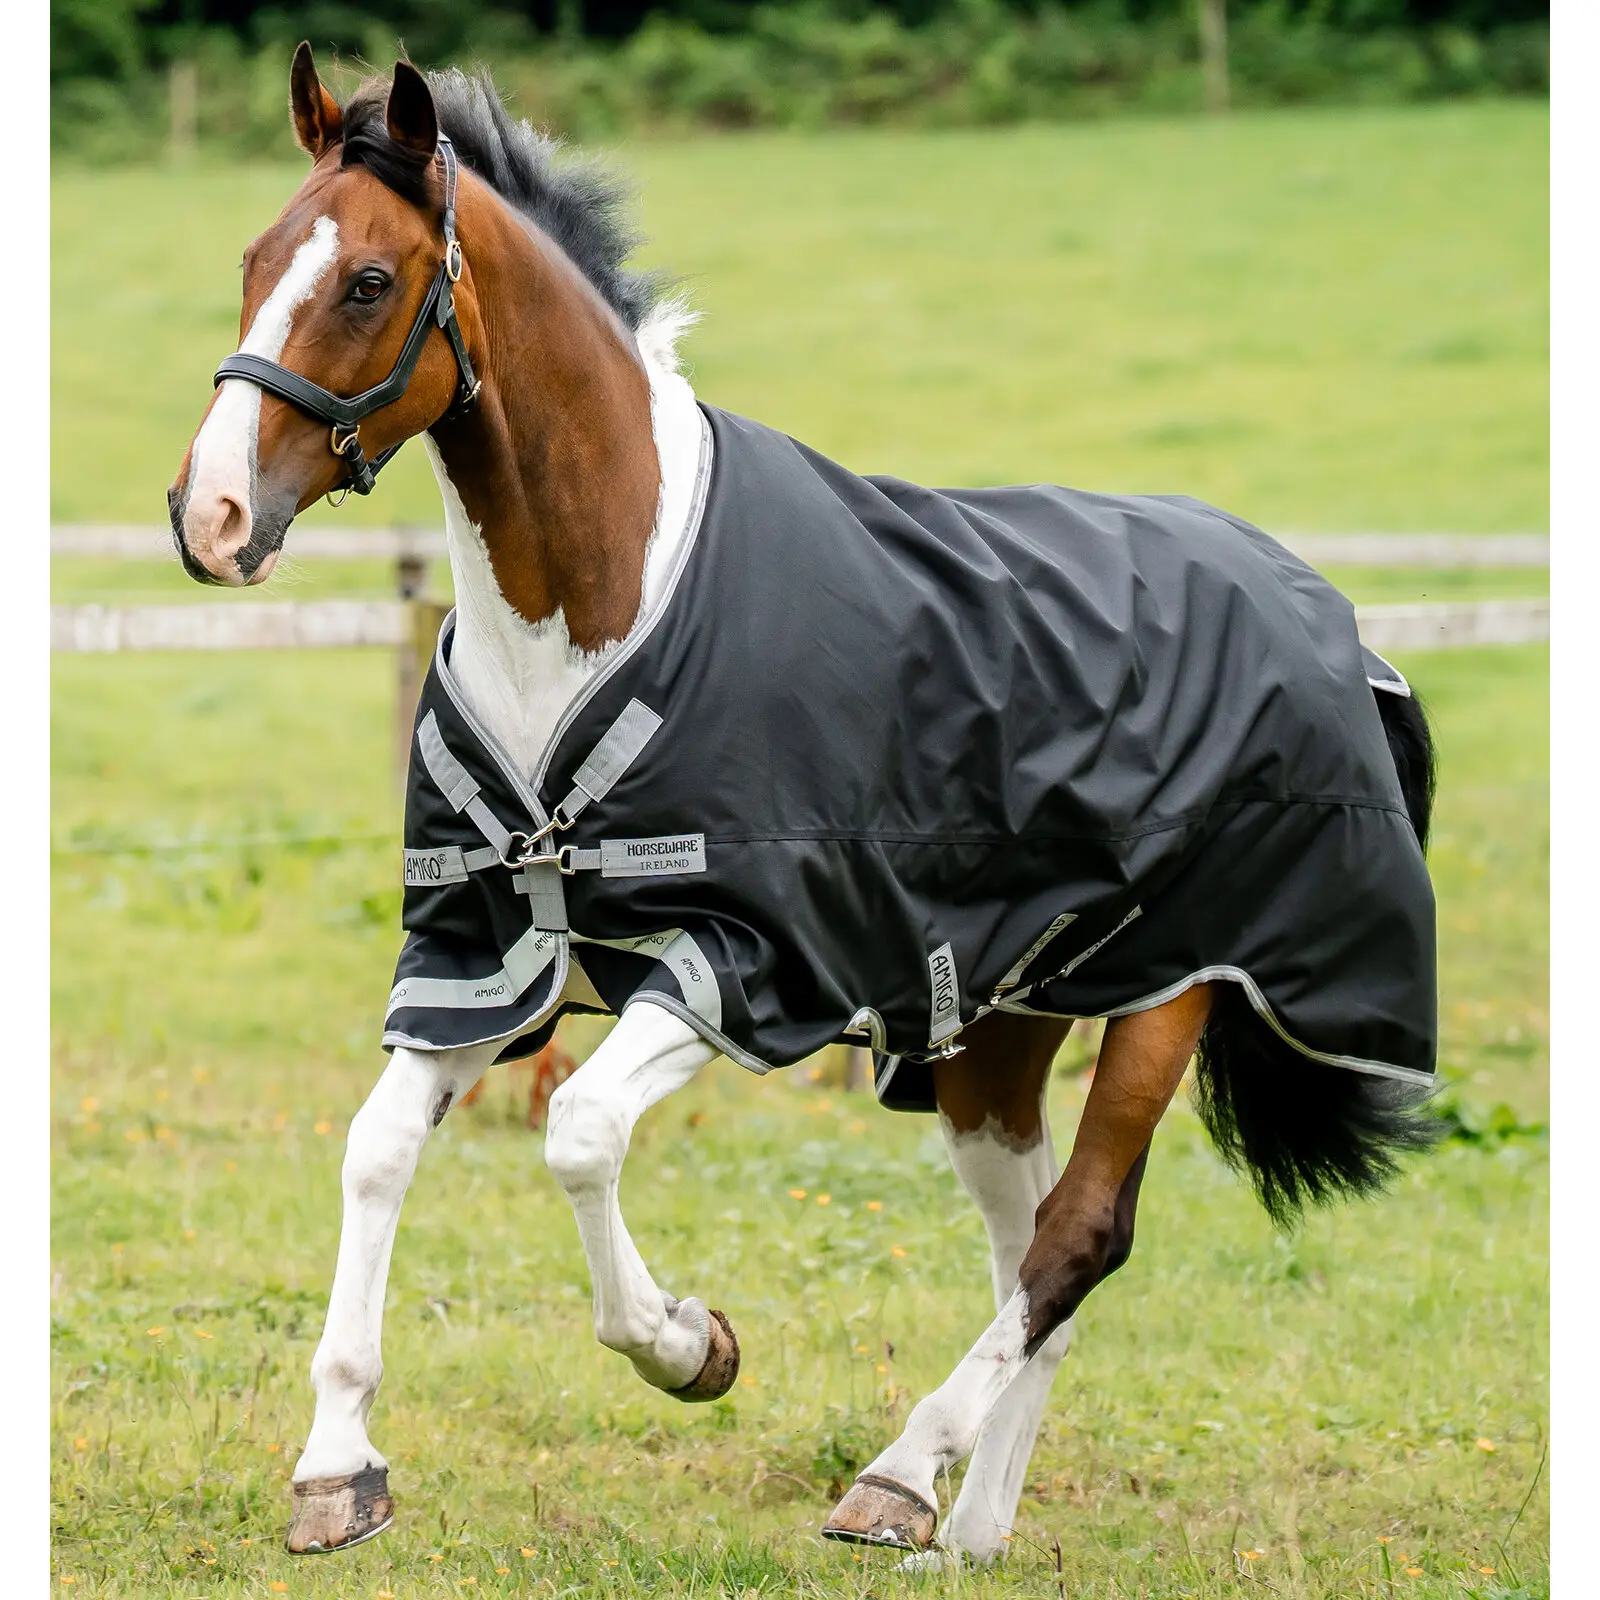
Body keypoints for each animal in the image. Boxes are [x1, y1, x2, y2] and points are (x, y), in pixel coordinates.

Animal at [166, 48, 1440, 1562]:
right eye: (253, 260)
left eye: (366, 280)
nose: (210, 517)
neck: (595, 608)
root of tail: (1324, 610)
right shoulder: (484, 959)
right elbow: (375, 1152)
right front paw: (337, 1469)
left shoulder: (745, 960)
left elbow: (579, 1132)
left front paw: (688, 1345)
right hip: (994, 1031)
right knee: (1032, 1258)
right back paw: (968, 1530)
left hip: (1172, 989)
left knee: (1079, 1237)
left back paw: (898, 1478)